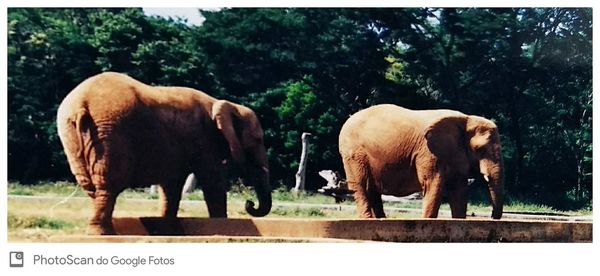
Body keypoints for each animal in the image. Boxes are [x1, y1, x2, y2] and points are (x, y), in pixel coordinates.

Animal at [56, 71, 272, 235]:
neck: (221, 103)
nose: (249, 204)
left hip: (74, 136)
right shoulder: (204, 139)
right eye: (258, 140)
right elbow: (212, 182)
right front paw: (221, 227)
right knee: (108, 186)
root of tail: (82, 104)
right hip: (110, 133)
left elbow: (172, 185)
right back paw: (104, 234)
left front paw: (169, 231)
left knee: (92, 187)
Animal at [340, 104, 504, 220]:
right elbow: (433, 185)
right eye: (480, 150)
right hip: (353, 155)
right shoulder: (428, 153)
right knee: (361, 185)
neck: (466, 119)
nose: (491, 217)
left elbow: (459, 190)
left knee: (372, 189)